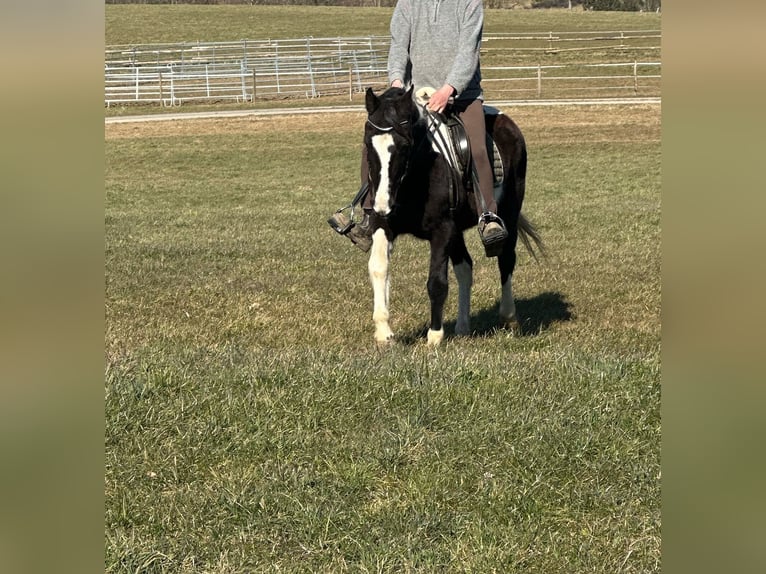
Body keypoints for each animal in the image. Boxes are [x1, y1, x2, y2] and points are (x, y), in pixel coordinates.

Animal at [364, 85, 544, 346]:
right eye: (368, 145)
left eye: (404, 146)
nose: (381, 204)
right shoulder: (385, 225)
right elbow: (378, 268)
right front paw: (384, 333)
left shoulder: (442, 229)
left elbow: (436, 282)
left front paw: (434, 336)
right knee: (465, 268)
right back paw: (462, 326)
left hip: (509, 212)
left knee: (506, 260)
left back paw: (509, 318)